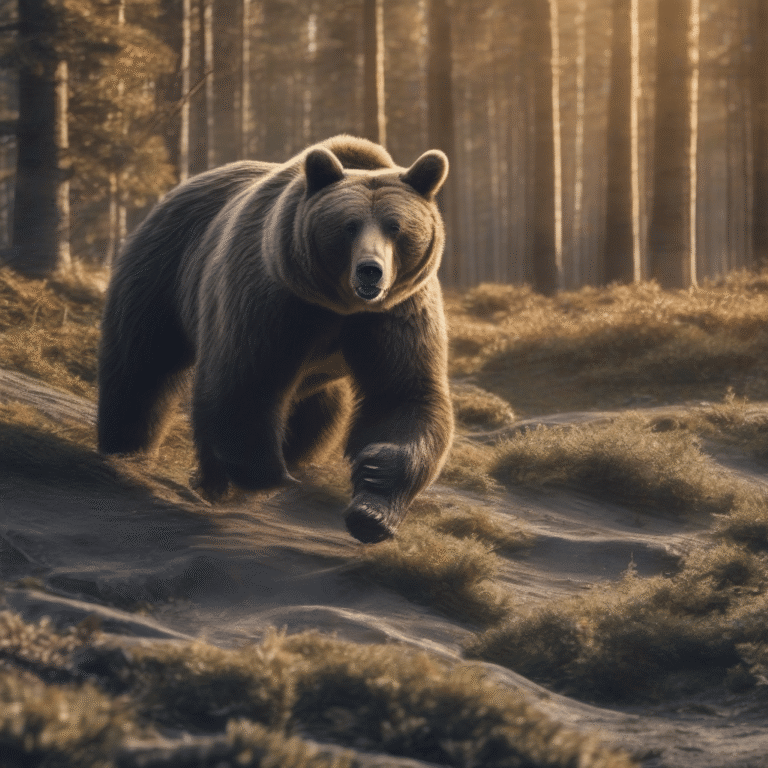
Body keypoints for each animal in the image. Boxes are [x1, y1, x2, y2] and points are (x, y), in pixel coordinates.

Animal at [97, 135, 454, 544]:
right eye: (349, 226)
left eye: (396, 227)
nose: (370, 271)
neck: (338, 304)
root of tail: (180, 188)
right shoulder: (273, 298)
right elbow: (244, 380)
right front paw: (264, 475)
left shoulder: (395, 314)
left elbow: (403, 395)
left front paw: (371, 505)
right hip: (165, 268)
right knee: (142, 363)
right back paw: (131, 448)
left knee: (322, 410)